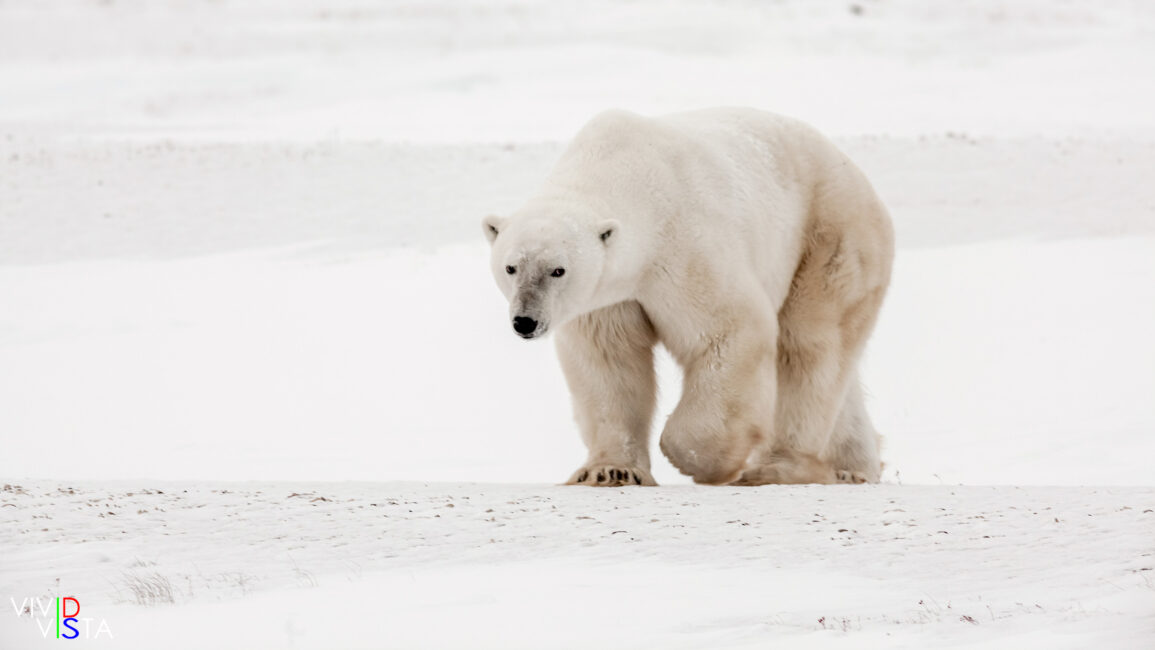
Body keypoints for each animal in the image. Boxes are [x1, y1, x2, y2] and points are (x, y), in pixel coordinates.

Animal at [483, 108, 894, 487]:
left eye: (558, 270)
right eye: (511, 267)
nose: (525, 321)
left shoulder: (683, 246)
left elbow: (730, 331)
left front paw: (696, 459)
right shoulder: (608, 297)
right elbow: (609, 363)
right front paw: (610, 470)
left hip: (830, 237)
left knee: (808, 346)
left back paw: (778, 468)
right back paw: (853, 468)